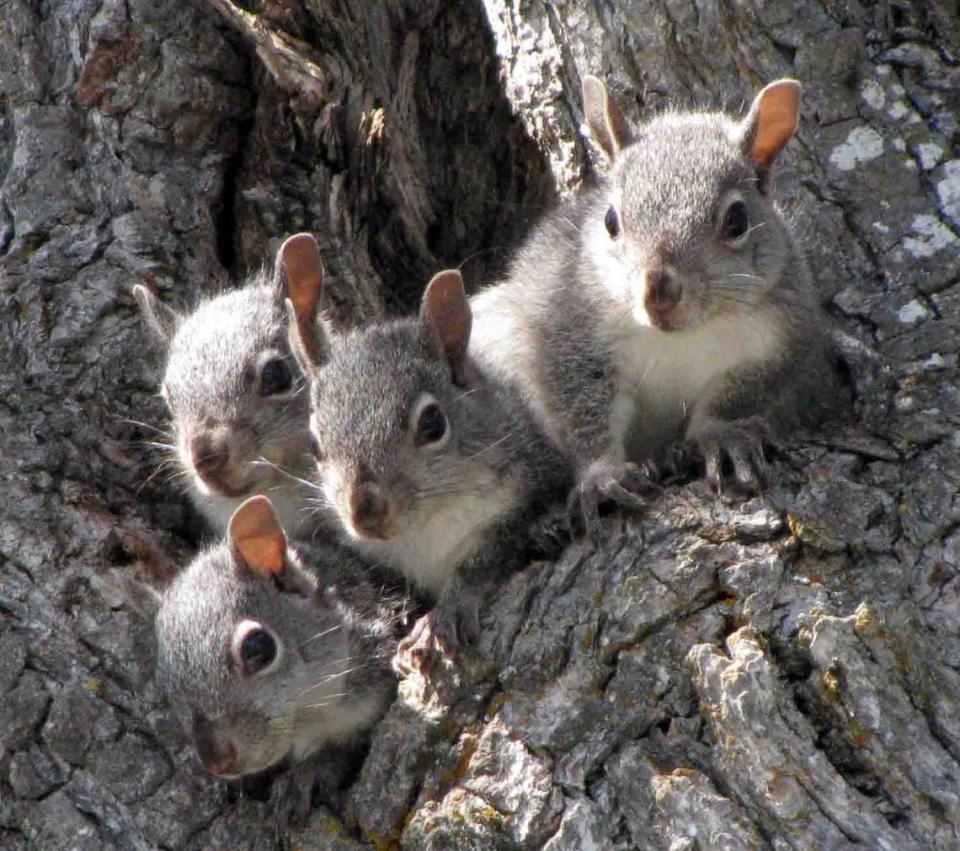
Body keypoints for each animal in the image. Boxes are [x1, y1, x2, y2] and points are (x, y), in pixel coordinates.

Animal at [151, 496, 408, 824]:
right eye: (164, 682)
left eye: (257, 647)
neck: (308, 717)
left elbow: (339, 753)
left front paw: (306, 776)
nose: (217, 760)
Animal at [284, 270, 568, 664]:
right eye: (314, 444)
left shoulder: (525, 490)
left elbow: (484, 559)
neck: (423, 529)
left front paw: (444, 615)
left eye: (433, 423)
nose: (364, 512)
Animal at [470, 76, 840, 536]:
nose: (658, 291)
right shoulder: (566, 329)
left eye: (737, 220)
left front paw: (721, 437)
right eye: (611, 220)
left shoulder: (779, 341)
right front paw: (603, 476)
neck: (679, 337)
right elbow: (580, 408)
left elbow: (739, 394)